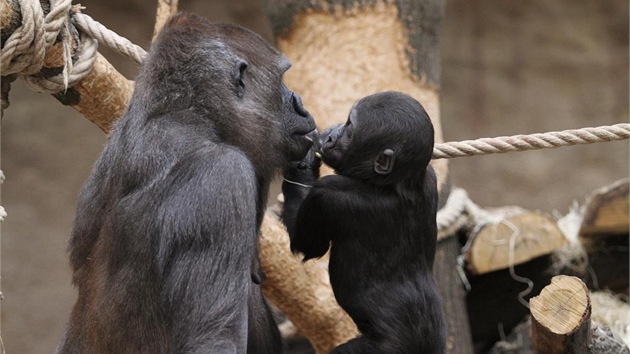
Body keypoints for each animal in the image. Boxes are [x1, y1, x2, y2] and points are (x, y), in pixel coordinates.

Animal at [282, 91, 450, 354]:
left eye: (350, 127)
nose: (332, 135)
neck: (392, 184)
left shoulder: (326, 195)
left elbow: (309, 246)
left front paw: (303, 164)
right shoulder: (430, 176)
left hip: (384, 347)